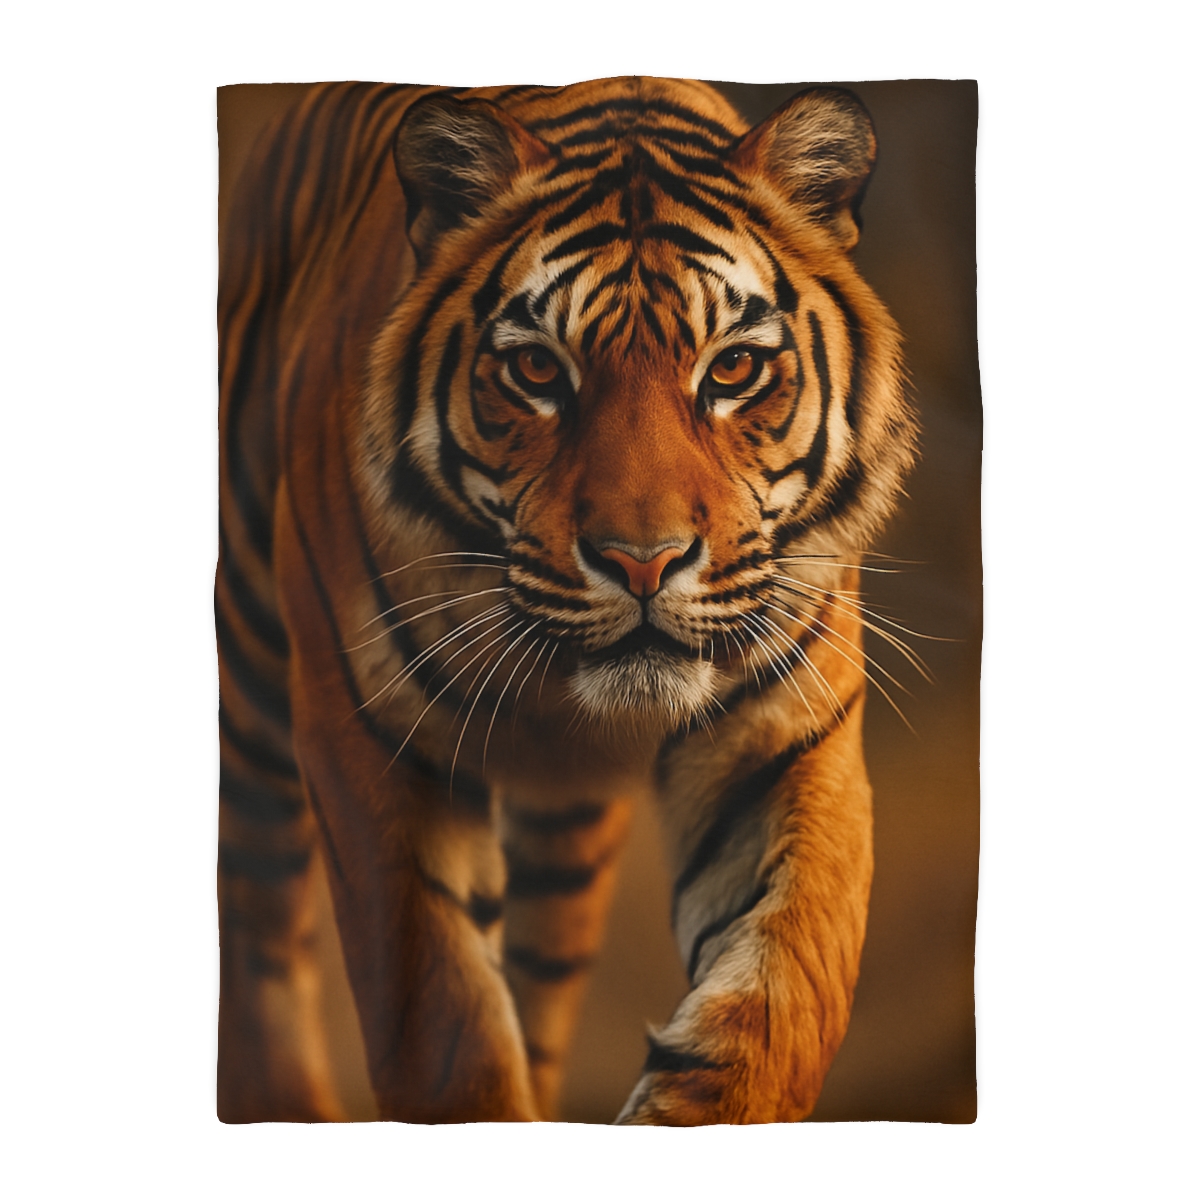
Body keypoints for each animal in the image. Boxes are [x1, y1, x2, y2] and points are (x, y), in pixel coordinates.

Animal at [216, 76, 917, 1124]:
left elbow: (784, 998)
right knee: (257, 915)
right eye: (539, 369)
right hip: (253, 684)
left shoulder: (788, 743)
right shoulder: (371, 742)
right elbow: (445, 1029)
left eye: (732, 369)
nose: (643, 561)